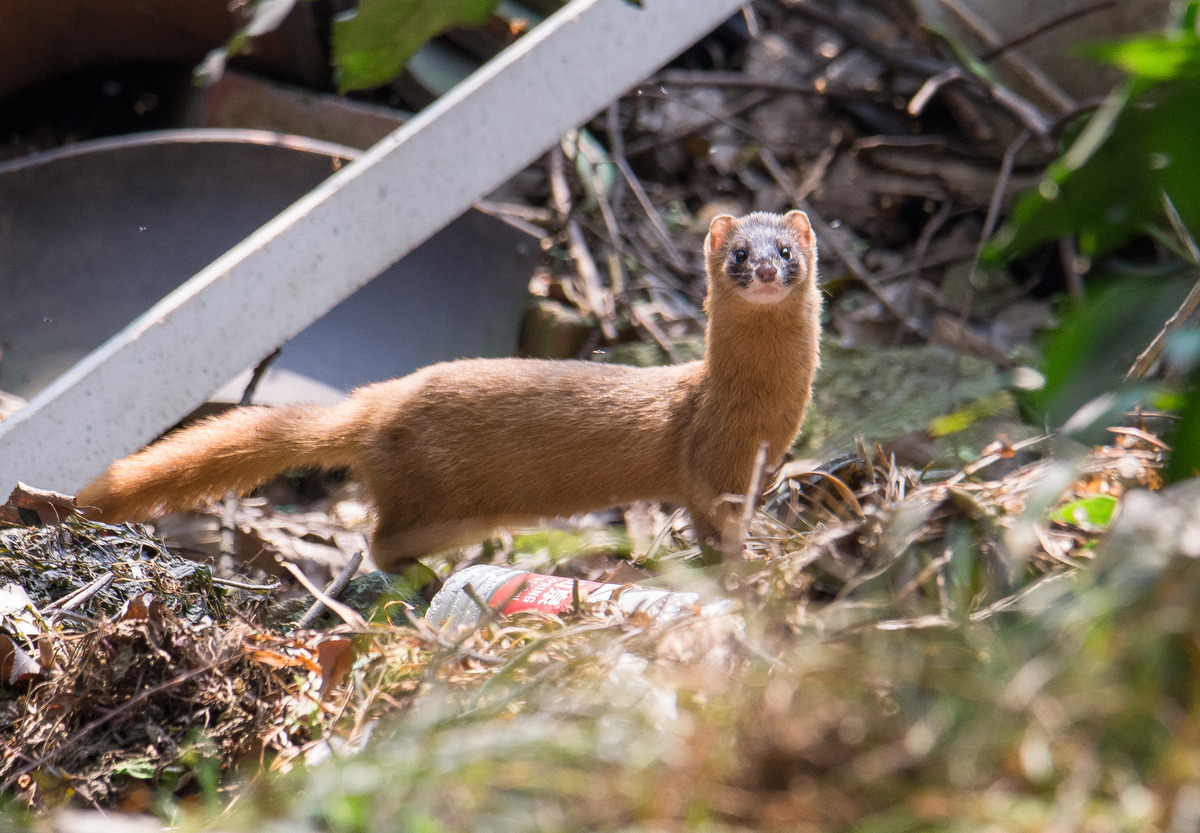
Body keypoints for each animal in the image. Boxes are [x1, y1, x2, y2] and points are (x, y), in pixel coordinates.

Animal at [79, 212, 820, 571]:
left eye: (786, 251)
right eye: (737, 254)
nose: (761, 269)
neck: (762, 412)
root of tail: (376, 401)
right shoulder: (711, 467)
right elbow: (714, 521)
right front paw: (744, 563)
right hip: (444, 502)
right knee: (381, 540)